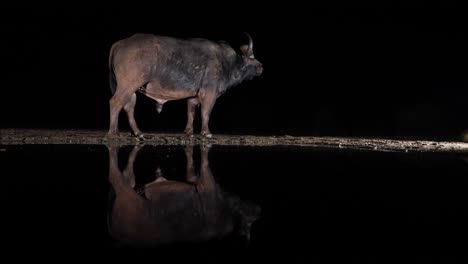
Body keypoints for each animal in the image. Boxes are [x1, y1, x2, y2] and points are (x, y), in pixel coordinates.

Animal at [107, 32, 266, 138]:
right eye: (252, 58)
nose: (261, 66)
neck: (227, 63)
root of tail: (120, 43)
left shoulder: (194, 96)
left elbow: (191, 112)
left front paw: (188, 132)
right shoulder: (209, 93)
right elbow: (206, 113)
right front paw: (206, 133)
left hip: (131, 88)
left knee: (128, 106)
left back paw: (137, 133)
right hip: (128, 85)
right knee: (115, 102)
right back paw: (113, 132)